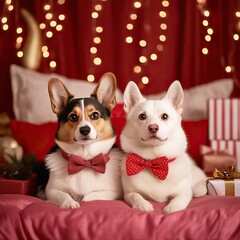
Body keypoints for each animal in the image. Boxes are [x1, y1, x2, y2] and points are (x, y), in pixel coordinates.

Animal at [44, 73, 124, 208]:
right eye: (73, 117)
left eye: (95, 115)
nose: (85, 130)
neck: (85, 159)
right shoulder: (51, 190)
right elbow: (62, 194)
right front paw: (70, 203)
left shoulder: (116, 192)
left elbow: (100, 194)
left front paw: (87, 198)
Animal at [121, 80, 207, 214]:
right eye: (142, 117)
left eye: (164, 116)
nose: (153, 127)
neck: (154, 160)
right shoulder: (128, 193)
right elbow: (135, 196)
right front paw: (142, 204)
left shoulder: (184, 192)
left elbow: (181, 198)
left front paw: (173, 207)